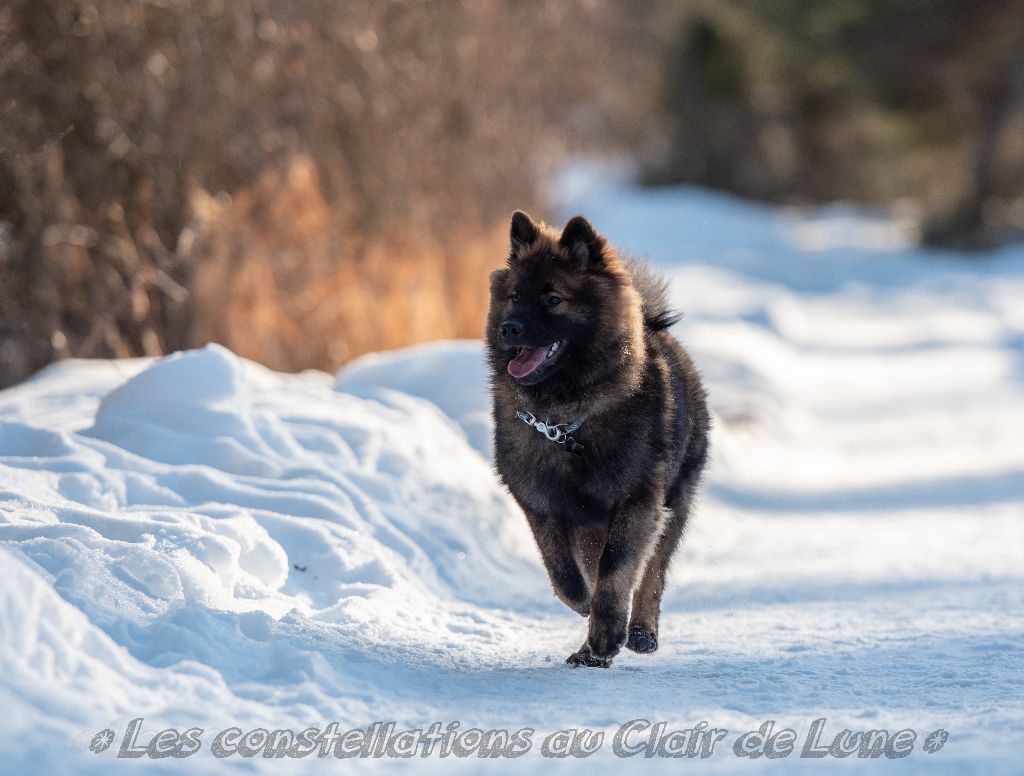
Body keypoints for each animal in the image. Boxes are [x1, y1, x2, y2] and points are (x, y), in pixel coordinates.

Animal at [483, 210, 708, 667]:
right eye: (515, 296)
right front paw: (586, 613)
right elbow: (563, 572)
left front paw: (608, 631)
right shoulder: (542, 506)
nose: (508, 329)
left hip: (675, 500)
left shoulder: (637, 501)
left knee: (652, 573)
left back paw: (638, 632)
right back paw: (588, 650)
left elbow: (618, 570)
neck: (566, 421)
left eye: (553, 300)